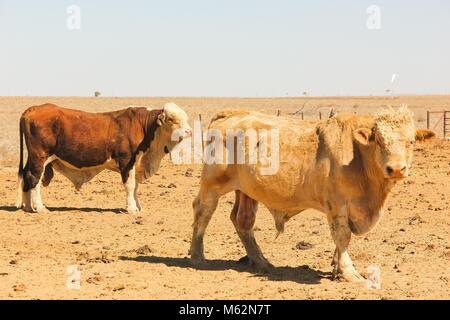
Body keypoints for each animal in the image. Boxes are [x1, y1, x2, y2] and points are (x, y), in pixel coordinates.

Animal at [190, 106, 428, 282]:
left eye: (411, 141)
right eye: (379, 140)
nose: (396, 169)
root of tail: (230, 114)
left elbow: (341, 241)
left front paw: (336, 268)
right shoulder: (337, 205)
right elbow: (342, 236)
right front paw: (349, 273)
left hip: (246, 191)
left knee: (242, 221)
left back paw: (261, 262)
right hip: (212, 184)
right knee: (203, 211)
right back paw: (197, 256)